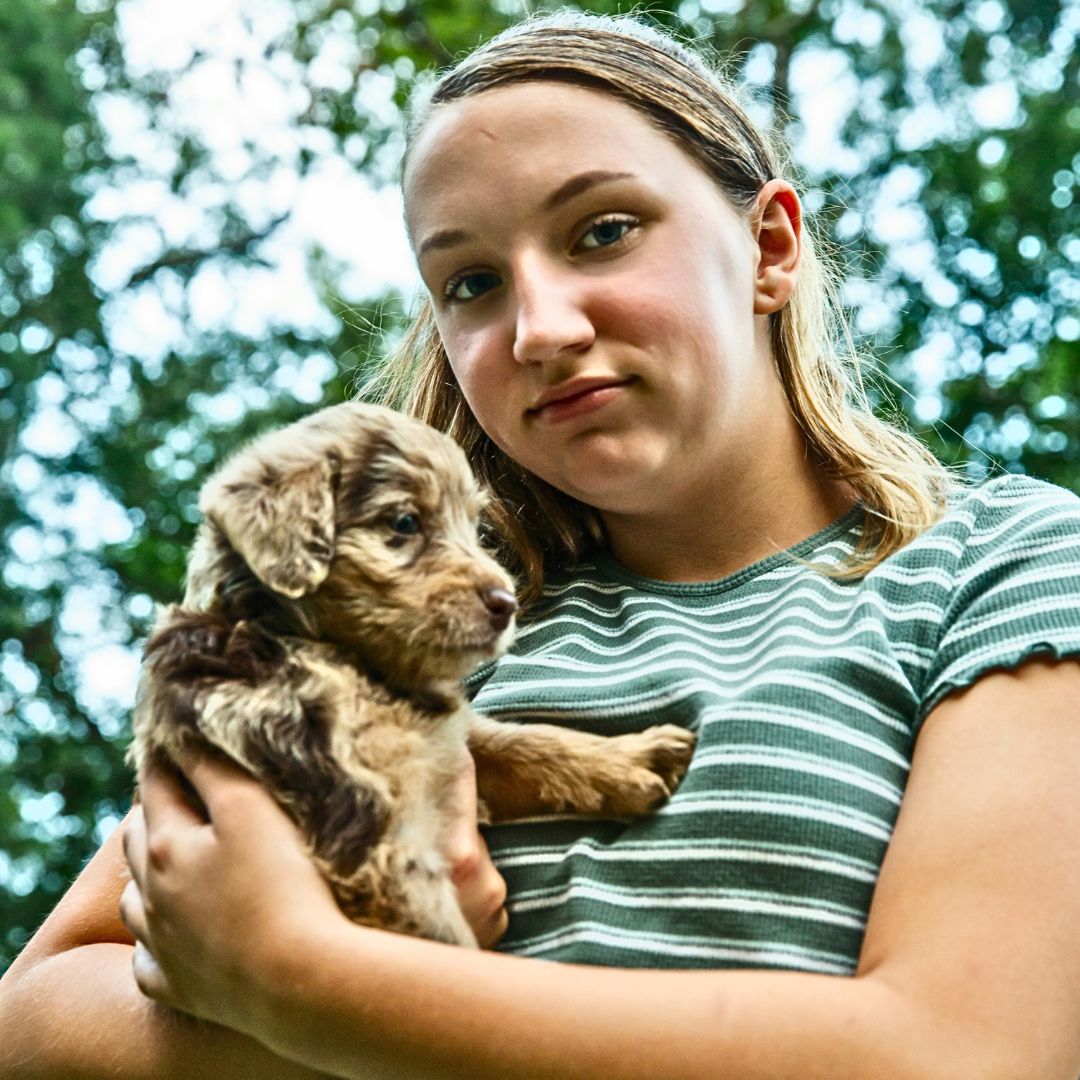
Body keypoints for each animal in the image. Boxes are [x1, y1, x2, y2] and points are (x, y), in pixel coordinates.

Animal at [128, 401, 699, 950]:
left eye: (473, 527)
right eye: (404, 523)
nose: (507, 604)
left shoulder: (450, 745)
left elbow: (526, 742)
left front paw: (630, 758)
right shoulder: (369, 833)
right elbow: (450, 950)